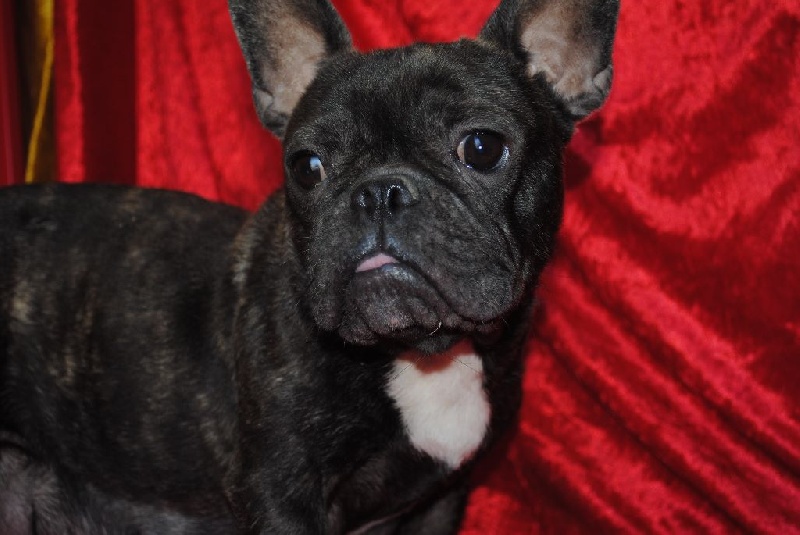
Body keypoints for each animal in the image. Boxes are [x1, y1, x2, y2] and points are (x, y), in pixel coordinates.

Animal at [0, 0, 619, 532]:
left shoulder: (438, 504)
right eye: (306, 166)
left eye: (482, 148)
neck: (421, 352)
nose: (378, 191)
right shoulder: (280, 494)